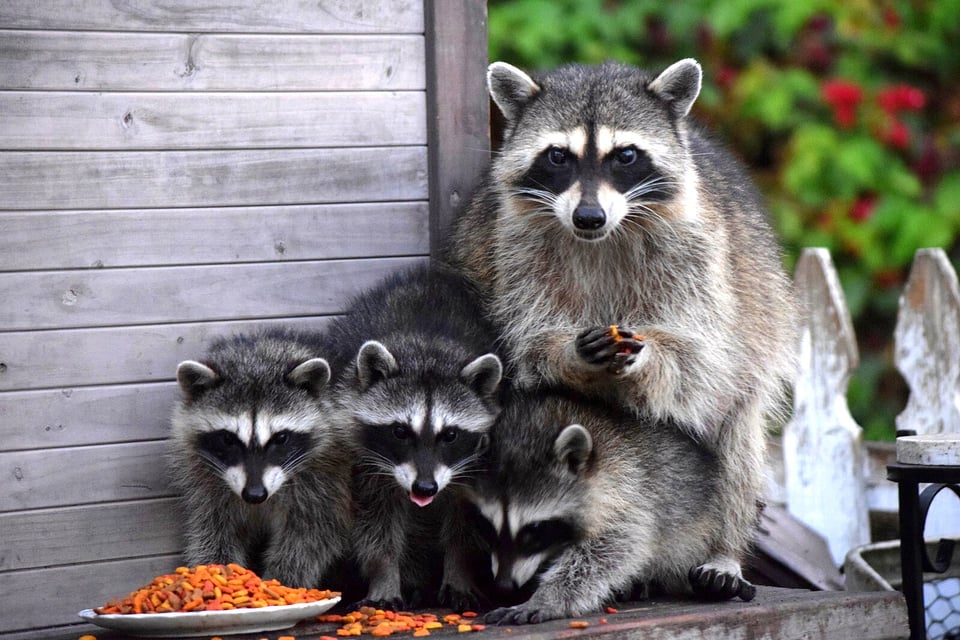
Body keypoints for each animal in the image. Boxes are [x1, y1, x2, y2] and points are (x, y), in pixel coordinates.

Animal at [169, 328, 353, 588]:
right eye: (228, 439)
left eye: (281, 438)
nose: (255, 495)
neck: (259, 357)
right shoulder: (205, 478)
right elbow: (214, 528)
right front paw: (215, 571)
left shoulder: (328, 476)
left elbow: (309, 537)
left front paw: (281, 581)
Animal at [324, 264, 503, 610]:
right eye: (400, 432)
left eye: (450, 435)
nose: (424, 488)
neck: (427, 352)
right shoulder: (364, 457)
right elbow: (376, 522)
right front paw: (384, 575)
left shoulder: (471, 464)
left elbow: (464, 524)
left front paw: (459, 570)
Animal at [446, 59, 795, 595]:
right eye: (558, 157)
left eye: (625, 156)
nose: (588, 216)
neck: (601, 236)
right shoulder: (509, 254)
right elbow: (524, 348)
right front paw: (565, 353)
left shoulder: (701, 257)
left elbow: (700, 365)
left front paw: (651, 357)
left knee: (737, 433)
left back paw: (725, 549)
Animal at [473, 391, 750, 625]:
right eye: (488, 528)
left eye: (535, 530)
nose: (503, 586)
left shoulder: (628, 487)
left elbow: (614, 547)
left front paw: (548, 598)